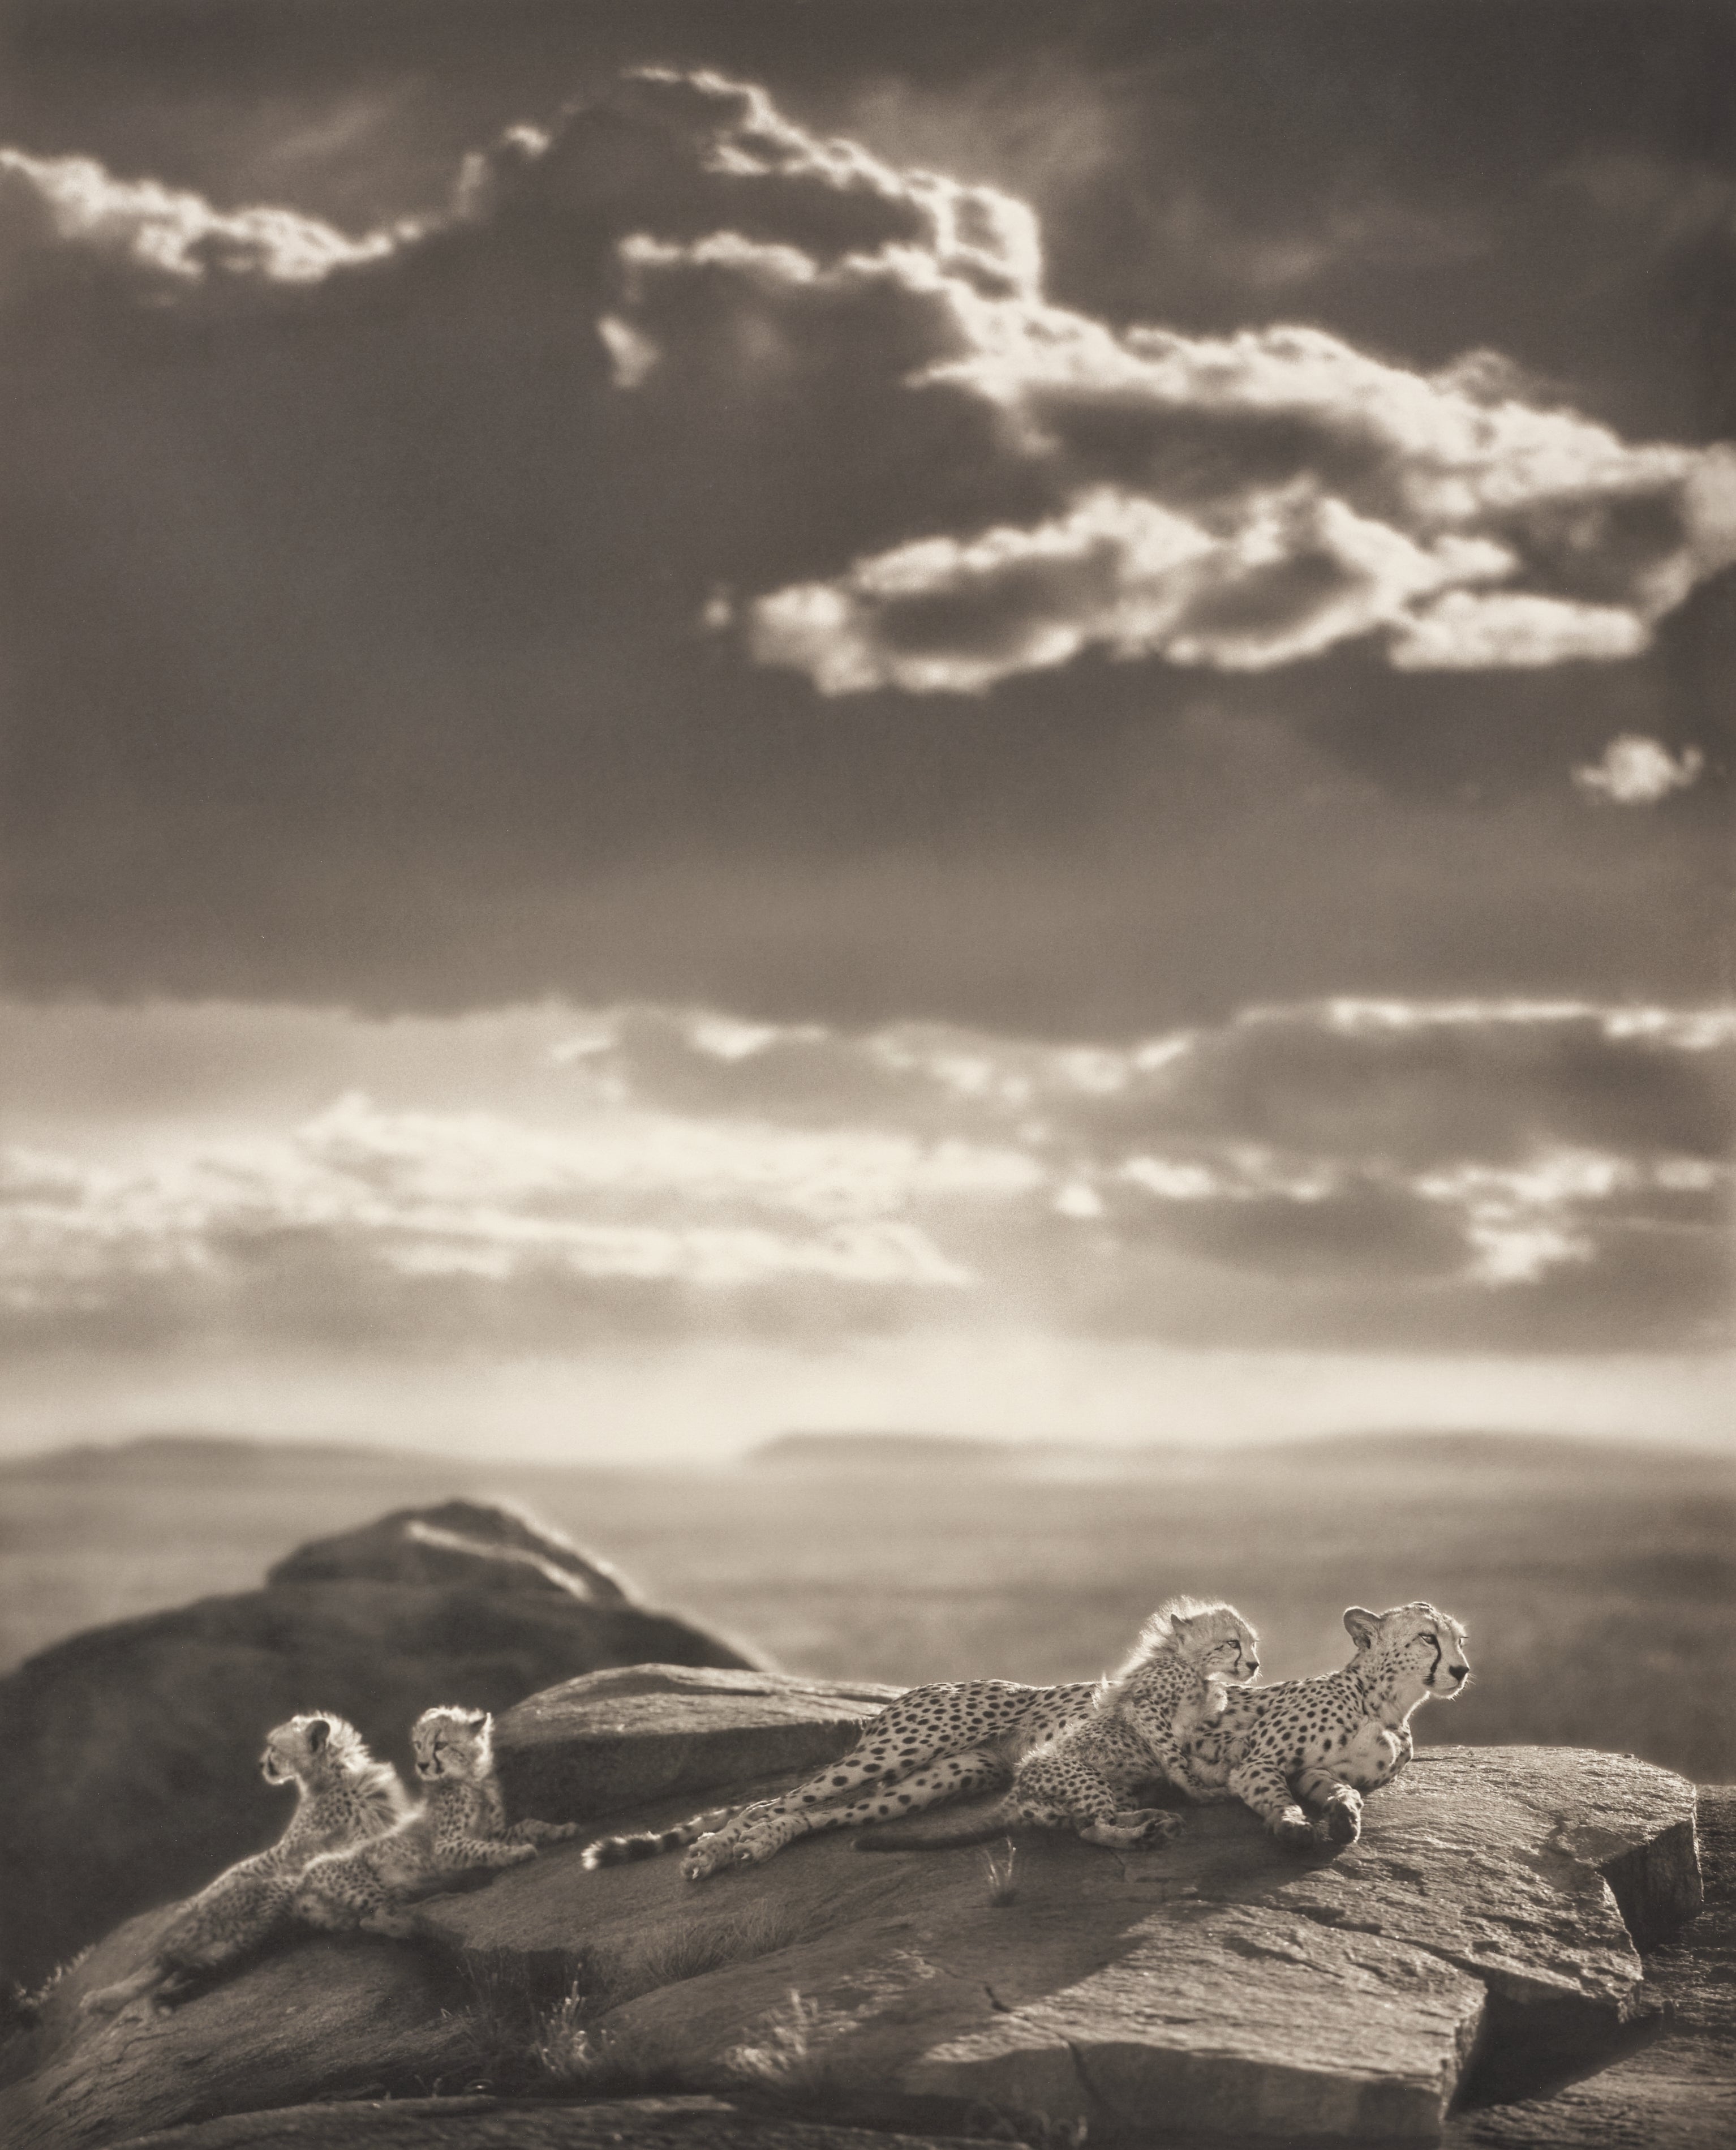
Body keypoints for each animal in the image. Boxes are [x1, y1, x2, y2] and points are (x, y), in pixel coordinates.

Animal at [289, 1705, 579, 1937]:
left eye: (440, 1745)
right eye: (419, 1744)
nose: (423, 1765)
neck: (470, 1780)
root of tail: (300, 1885)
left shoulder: (493, 1831)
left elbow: (529, 1824)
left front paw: (561, 1829)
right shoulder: (446, 1845)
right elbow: (480, 1848)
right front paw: (516, 1853)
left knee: (367, 1919)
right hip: (362, 1883)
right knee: (377, 1917)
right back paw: (418, 1919)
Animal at [582, 1598, 1258, 1880]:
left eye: (1252, 1643)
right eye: (1233, 1642)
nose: (1253, 1664)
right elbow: (1183, 1762)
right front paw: (1202, 1790)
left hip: (945, 1776)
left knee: (818, 1814)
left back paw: (758, 1845)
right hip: (901, 1749)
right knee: (771, 1801)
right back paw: (713, 1851)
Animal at [1175, 1602, 1470, 1849]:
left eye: (1460, 1641)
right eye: (1428, 1638)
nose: (1462, 1671)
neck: (1385, 1706)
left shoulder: (1313, 1771)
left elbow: (1340, 1788)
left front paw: (1345, 1815)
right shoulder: (1258, 1760)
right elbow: (1276, 1793)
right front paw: (1294, 1823)